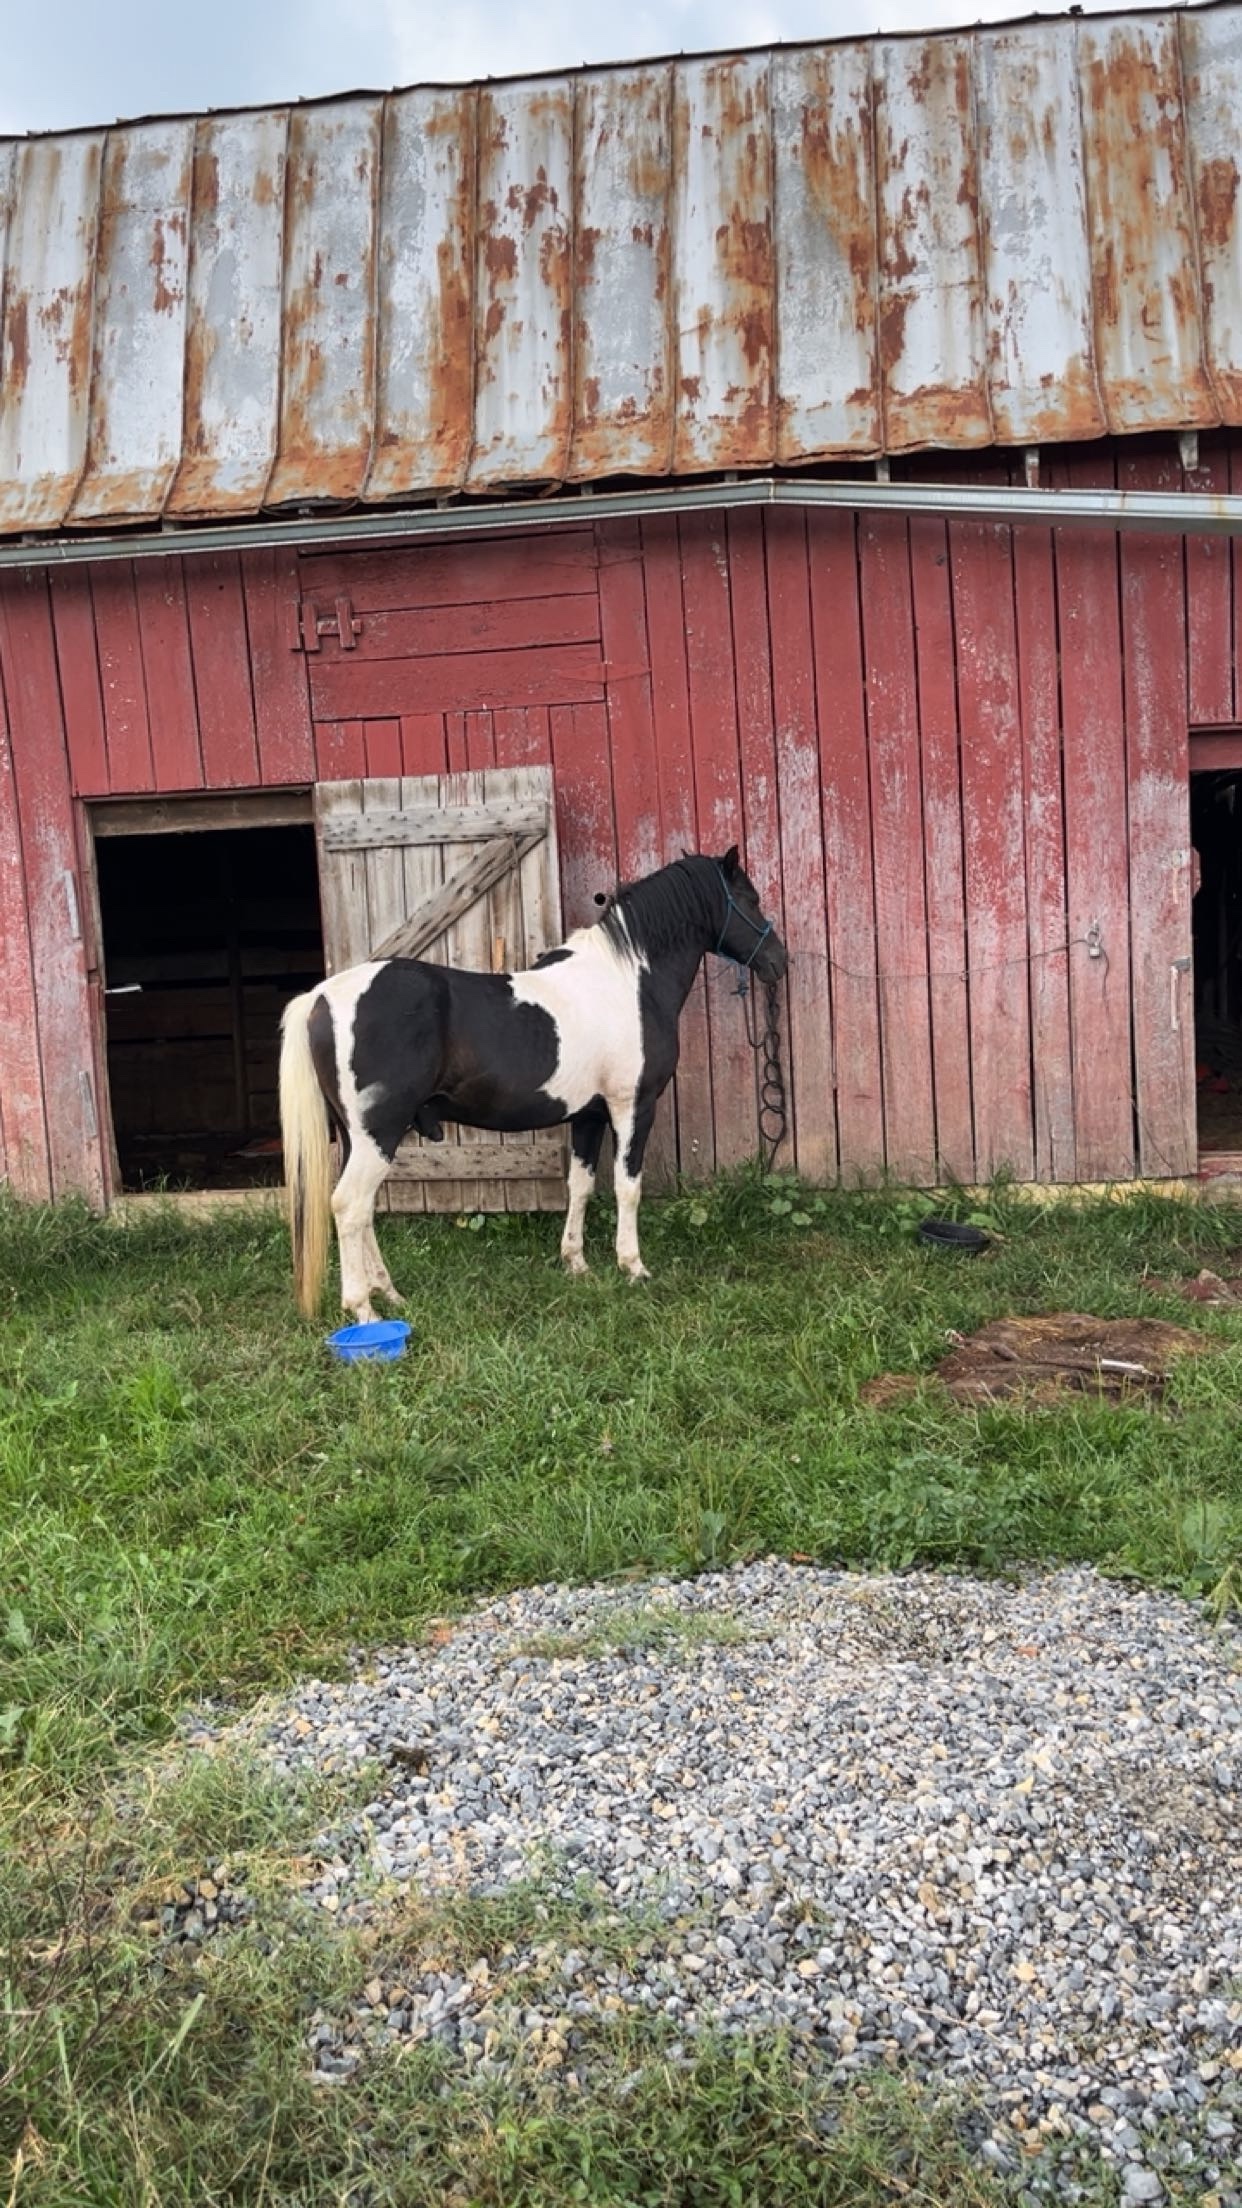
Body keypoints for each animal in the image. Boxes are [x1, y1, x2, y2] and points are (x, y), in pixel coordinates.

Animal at [278, 847, 788, 1321]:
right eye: (751, 899)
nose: (779, 961)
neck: (627, 983)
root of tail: (321, 997)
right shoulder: (633, 1107)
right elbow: (628, 1186)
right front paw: (633, 1267)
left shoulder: (589, 1115)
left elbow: (580, 1185)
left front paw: (576, 1263)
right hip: (379, 1133)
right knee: (349, 1206)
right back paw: (364, 1309)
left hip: (359, 1137)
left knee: (364, 1211)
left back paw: (390, 1293)